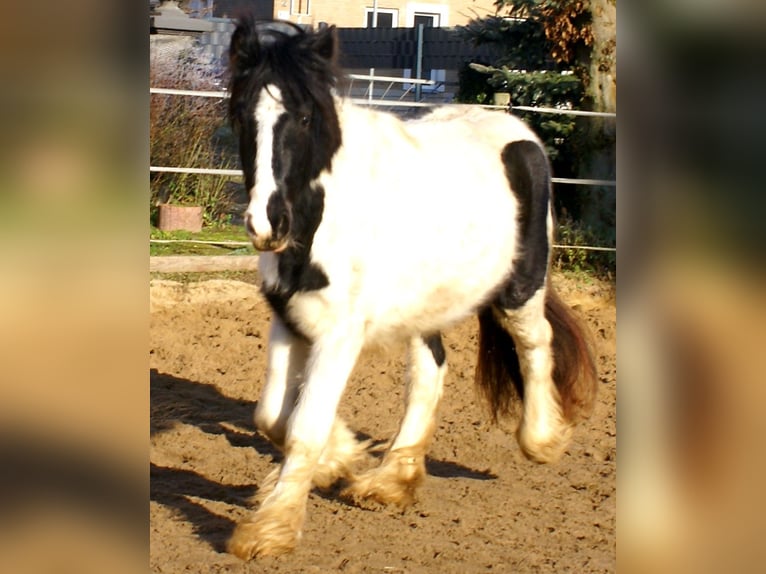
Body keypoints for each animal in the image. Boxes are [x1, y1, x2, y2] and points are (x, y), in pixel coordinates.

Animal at [225, 19, 596, 564]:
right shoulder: (287, 318)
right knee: (430, 370)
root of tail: (521, 135)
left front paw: (270, 531)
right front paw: (342, 458)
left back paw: (542, 440)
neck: (322, 220)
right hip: (427, 306)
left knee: (535, 344)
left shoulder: (340, 335)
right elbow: (272, 417)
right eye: (241, 117)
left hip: (520, 289)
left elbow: (302, 427)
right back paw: (392, 481)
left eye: (306, 117)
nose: (265, 224)